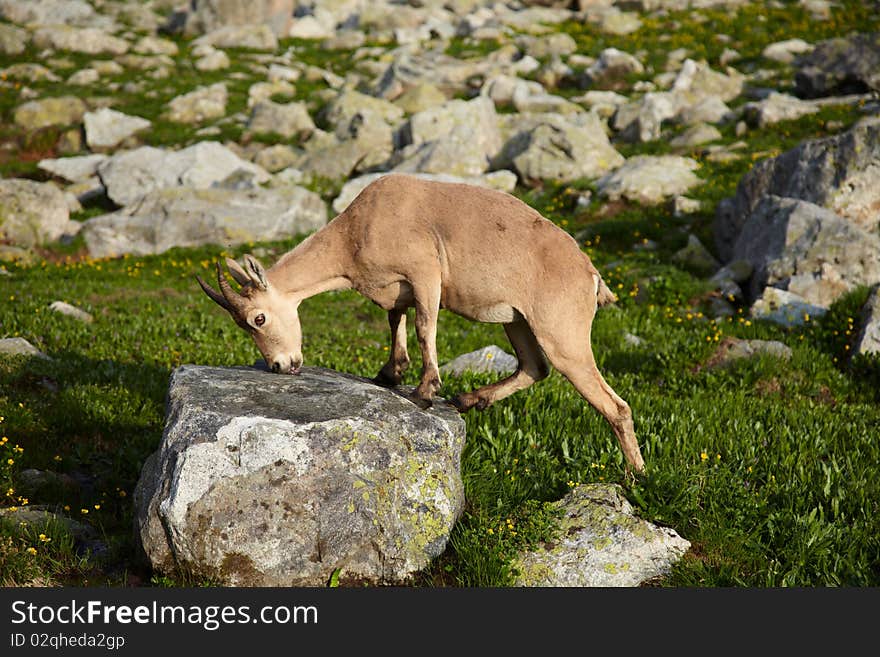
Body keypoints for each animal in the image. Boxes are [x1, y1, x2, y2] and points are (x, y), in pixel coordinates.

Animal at [196, 174, 644, 472]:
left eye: (258, 317)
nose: (281, 365)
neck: (354, 234)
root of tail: (589, 274)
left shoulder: (426, 273)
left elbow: (425, 326)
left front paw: (425, 391)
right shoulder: (398, 289)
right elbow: (396, 319)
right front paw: (390, 373)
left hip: (563, 331)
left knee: (614, 404)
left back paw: (634, 475)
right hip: (517, 321)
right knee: (534, 367)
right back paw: (468, 400)